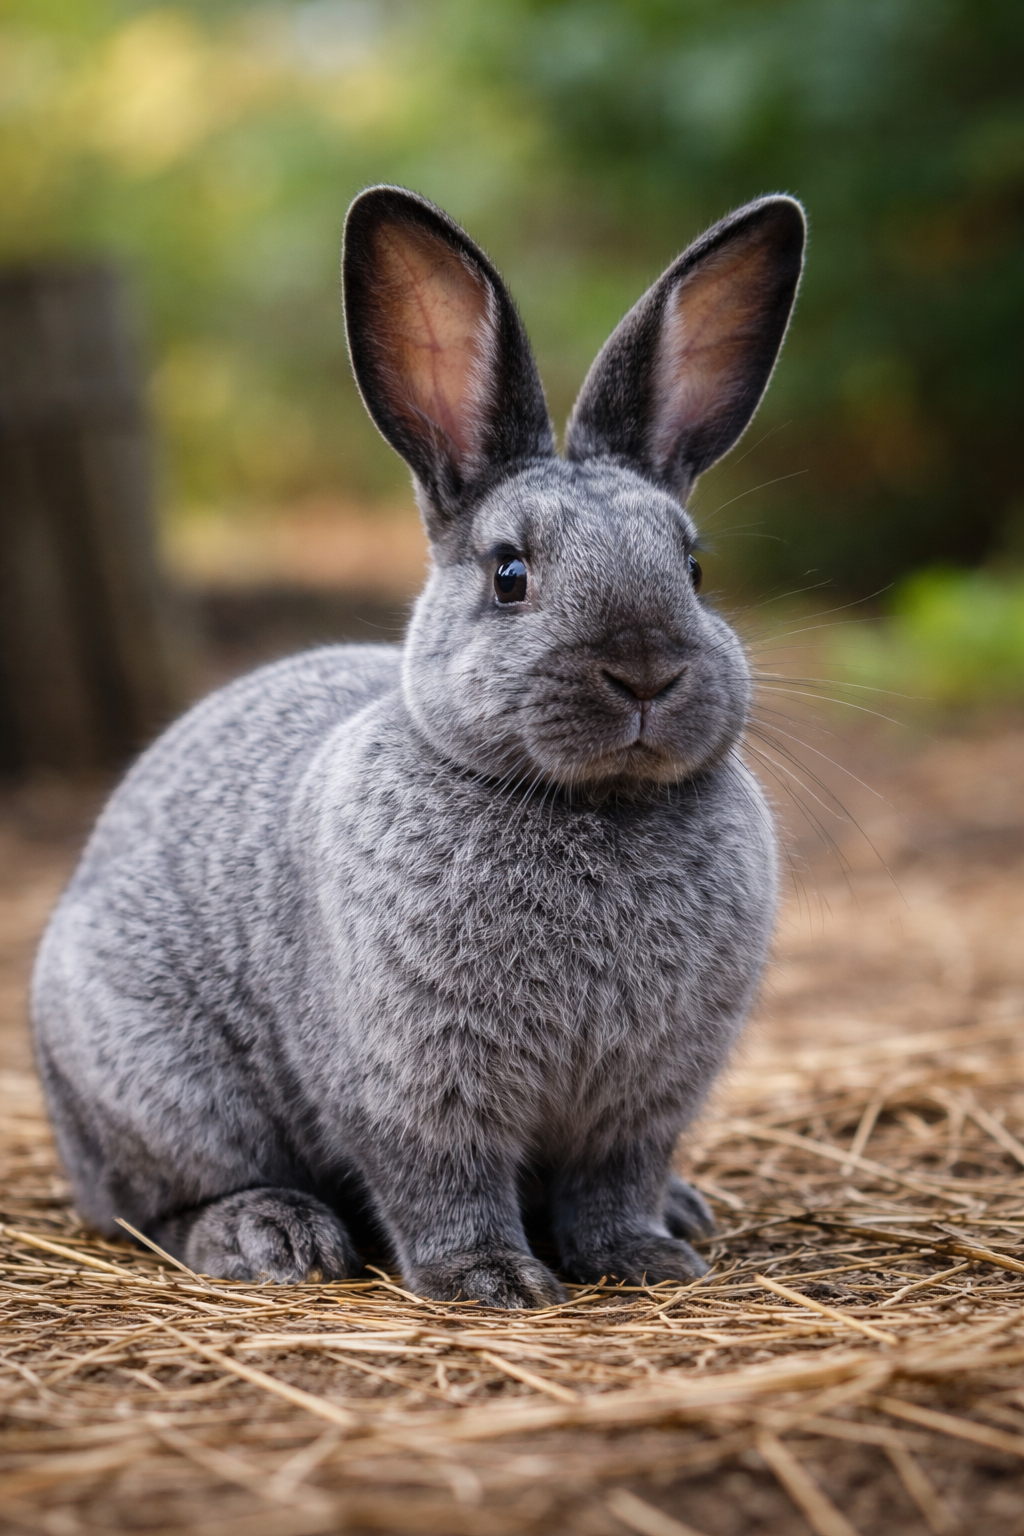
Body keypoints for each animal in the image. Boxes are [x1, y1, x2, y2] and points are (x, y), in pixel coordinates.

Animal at [31, 186, 805, 1307]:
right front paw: (492, 1282)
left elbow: (614, 1183)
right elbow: (443, 1183)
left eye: (693, 569)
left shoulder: (639, 1105)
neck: (592, 804)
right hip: (159, 1088)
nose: (646, 672)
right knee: (157, 1205)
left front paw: (646, 1257)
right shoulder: (415, 1090)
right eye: (510, 574)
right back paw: (272, 1237)